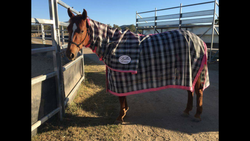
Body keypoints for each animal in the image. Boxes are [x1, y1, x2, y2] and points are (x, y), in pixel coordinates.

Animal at [66, 8, 203, 122]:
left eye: (81, 30)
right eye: (68, 29)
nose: (70, 54)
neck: (113, 45)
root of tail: (198, 39)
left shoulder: (119, 76)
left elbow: (121, 97)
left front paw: (120, 116)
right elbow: (123, 96)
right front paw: (125, 111)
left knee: (198, 91)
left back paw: (197, 115)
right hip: (188, 71)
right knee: (190, 90)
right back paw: (187, 111)